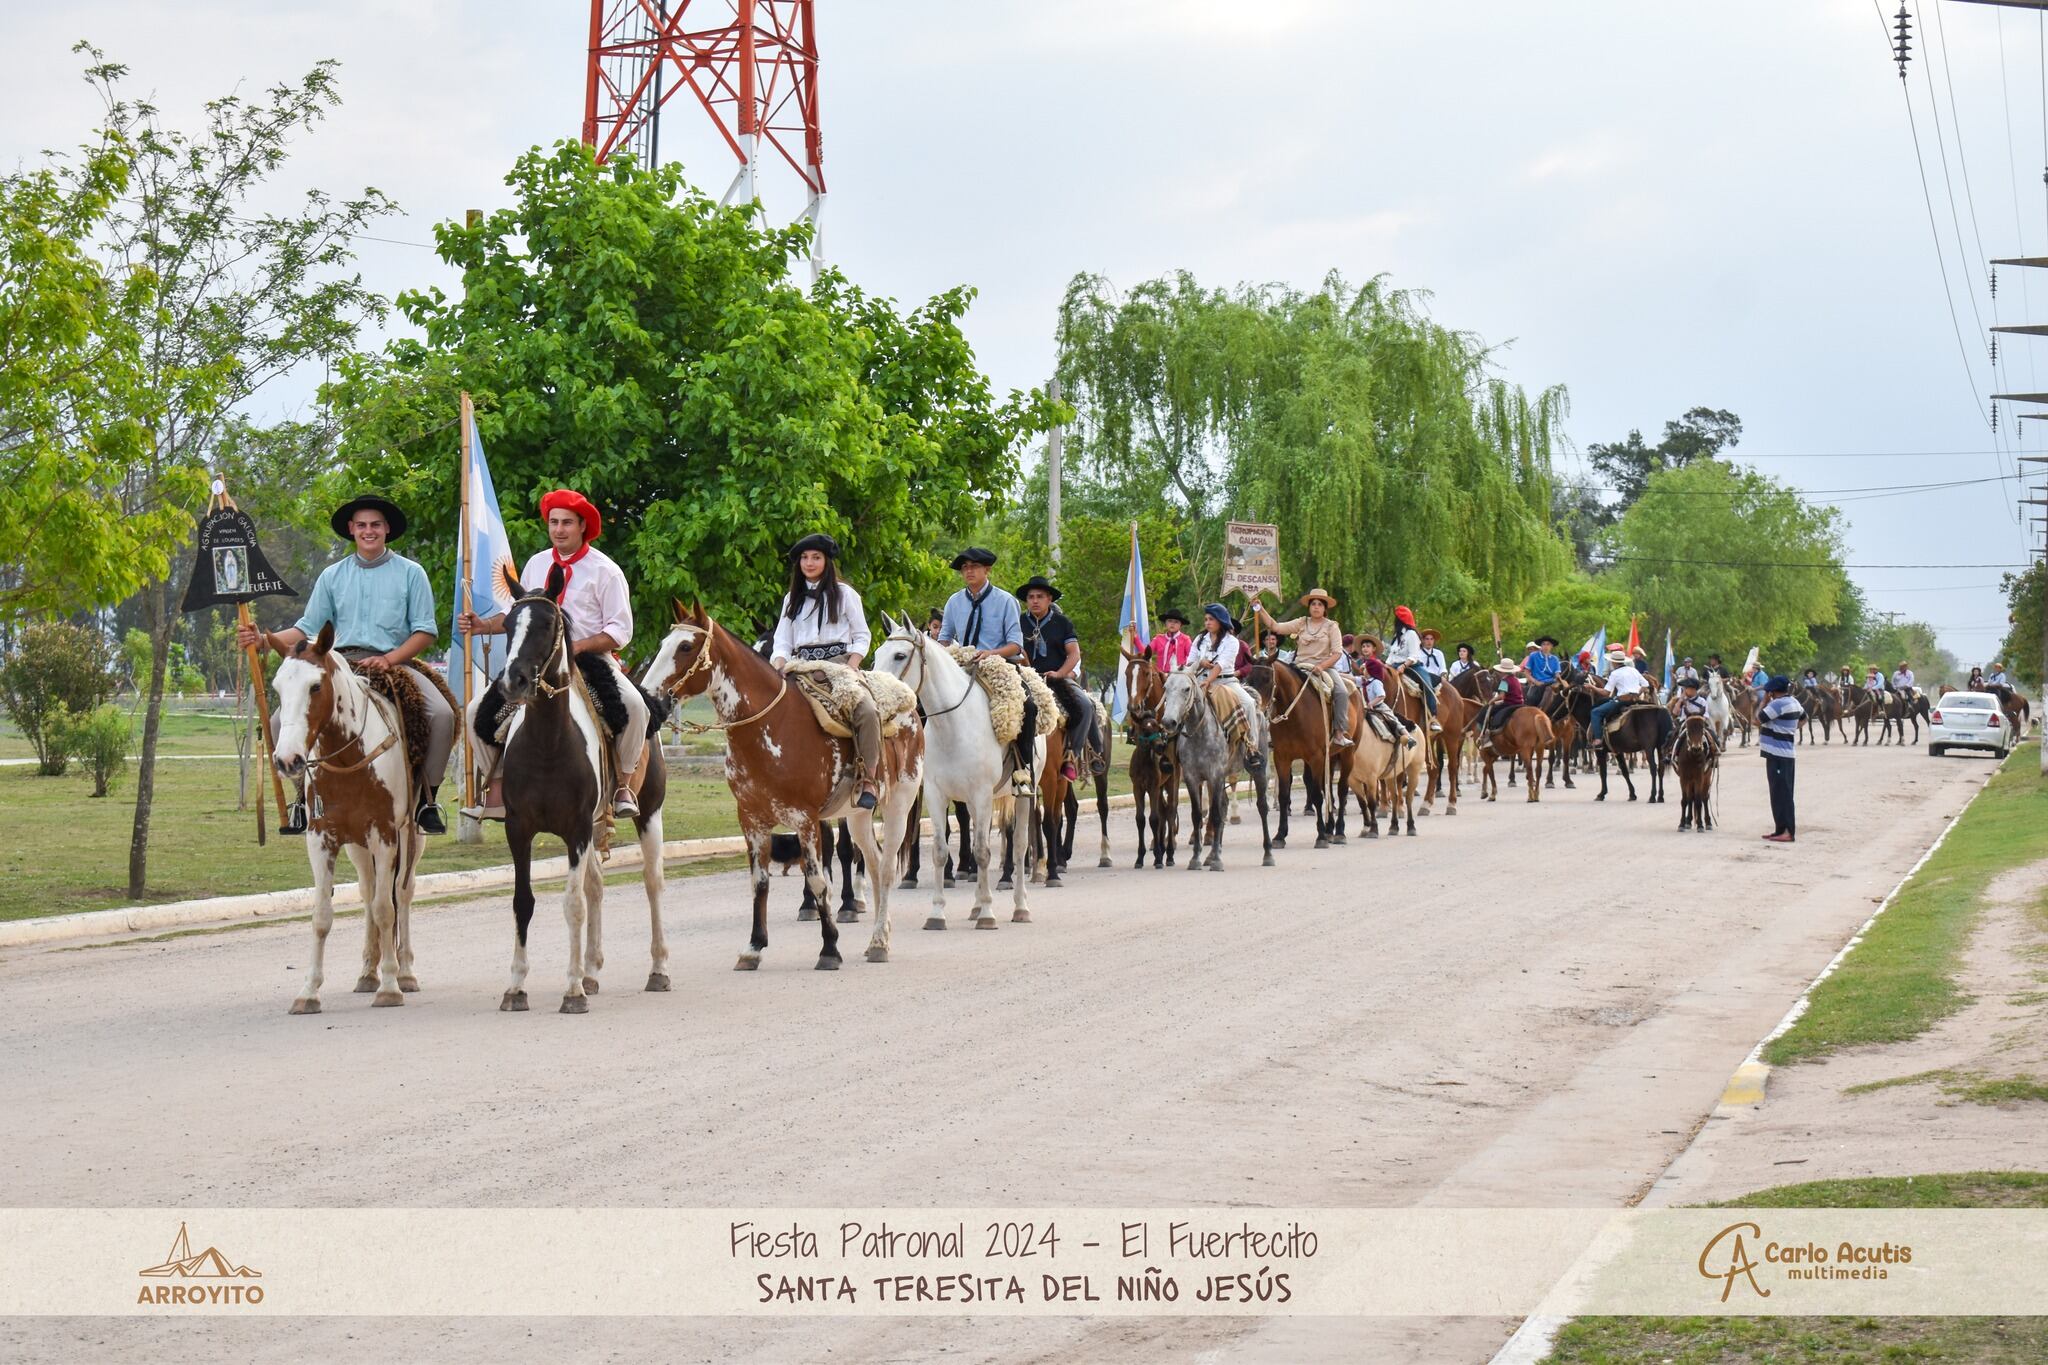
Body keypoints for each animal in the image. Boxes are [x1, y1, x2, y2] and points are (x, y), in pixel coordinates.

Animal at [270, 622, 421, 1015]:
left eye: (315, 686)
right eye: (277, 688)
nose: (287, 759)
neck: (348, 757)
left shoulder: (385, 836)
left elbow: (386, 909)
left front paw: (390, 987)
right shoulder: (321, 839)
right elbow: (322, 916)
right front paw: (308, 991)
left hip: (411, 837)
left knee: (402, 894)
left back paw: (405, 972)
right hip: (357, 847)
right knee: (368, 892)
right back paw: (368, 972)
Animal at [643, 605, 925, 970]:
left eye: (686, 647)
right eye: (663, 643)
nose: (647, 697)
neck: (771, 726)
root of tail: (909, 705)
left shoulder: (805, 819)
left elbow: (818, 881)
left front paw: (829, 948)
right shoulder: (751, 819)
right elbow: (760, 882)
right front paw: (753, 947)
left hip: (899, 804)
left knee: (888, 867)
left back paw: (879, 941)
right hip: (858, 814)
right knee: (875, 863)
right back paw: (879, 935)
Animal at [868, 626, 1048, 933]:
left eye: (900, 655)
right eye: (877, 654)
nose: (876, 700)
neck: (952, 725)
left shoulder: (982, 794)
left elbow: (984, 853)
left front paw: (988, 914)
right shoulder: (937, 795)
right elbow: (941, 852)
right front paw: (937, 914)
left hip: (1025, 793)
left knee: (1020, 845)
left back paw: (1020, 907)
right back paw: (975, 906)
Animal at [1163, 667, 1269, 871]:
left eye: (1186, 689)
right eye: (1165, 687)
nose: (1168, 722)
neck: (1201, 732)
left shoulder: (1215, 775)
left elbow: (1216, 815)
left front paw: (1217, 861)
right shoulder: (1193, 778)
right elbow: (1198, 816)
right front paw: (1196, 858)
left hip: (1259, 770)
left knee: (1262, 807)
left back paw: (1268, 854)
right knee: (1224, 805)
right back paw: (1211, 855)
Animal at [1236, 658, 1351, 847]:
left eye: (1267, 678)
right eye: (1248, 678)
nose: (1258, 710)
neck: (1296, 715)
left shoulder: (1315, 758)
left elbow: (1317, 794)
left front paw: (1320, 836)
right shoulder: (1282, 758)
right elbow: (1284, 794)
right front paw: (1280, 835)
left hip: (1348, 754)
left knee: (1341, 789)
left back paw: (1340, 831)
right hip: (1331, 757)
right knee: (1328, 789)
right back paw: (1330, 828)